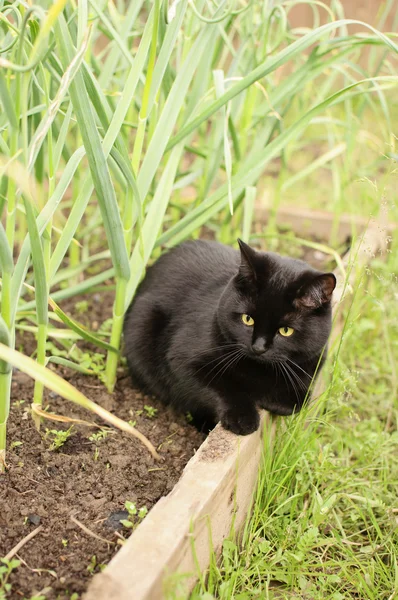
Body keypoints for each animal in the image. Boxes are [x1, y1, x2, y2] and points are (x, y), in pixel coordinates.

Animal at [123, 240, 334, 436]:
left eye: (285, 331)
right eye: (247, 319)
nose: (258, 347)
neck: (258, 371)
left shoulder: (313, 362)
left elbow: (302, 398)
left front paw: (279, 400)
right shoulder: (182, 360)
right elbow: (220, 386)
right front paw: (242, 417)